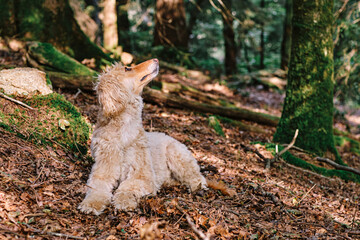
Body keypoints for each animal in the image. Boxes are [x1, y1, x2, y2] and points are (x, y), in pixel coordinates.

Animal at [79, 59, 208, 215]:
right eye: (127, 68)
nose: (156, 60)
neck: (123, 128)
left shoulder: (141, 175)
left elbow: (127, 186)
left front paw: (124, 201)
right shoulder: (103, 170)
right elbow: (96, 189)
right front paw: (91, 204)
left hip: (177, 155)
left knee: (197, 176)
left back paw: (197, 186)